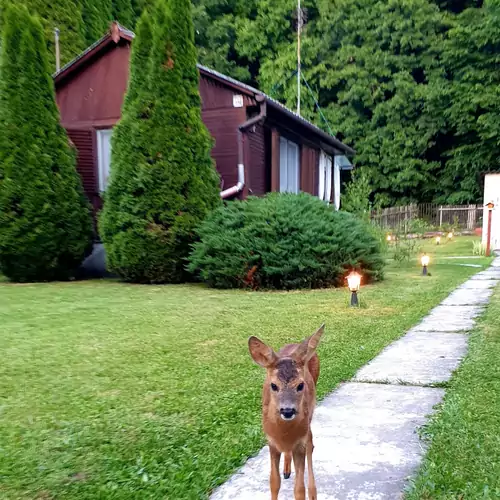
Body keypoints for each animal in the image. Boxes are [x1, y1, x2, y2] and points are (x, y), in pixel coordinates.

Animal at [249, 324, 326, 500]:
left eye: (300, 385)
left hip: (310, 414)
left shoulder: (300, 443)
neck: (283, 433)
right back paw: (286, 469)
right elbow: (274, 481)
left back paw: (313, 492)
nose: (288, 410)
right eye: (273, 385)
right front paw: (282, 473)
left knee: (311, 444)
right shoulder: (271, 442)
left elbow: (299, 489)